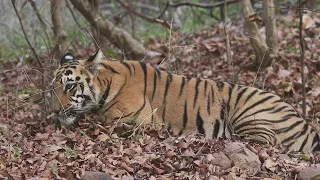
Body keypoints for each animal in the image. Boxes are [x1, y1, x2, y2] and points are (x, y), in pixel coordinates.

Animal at [51, 49, 318, 153]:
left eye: (69, 85)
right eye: (52, 89)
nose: (54, 111)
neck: (107, 83)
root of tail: (306, 125)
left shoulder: (135, 119)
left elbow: (95, 118)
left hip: (248, 109)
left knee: (267, 141)